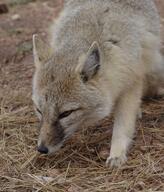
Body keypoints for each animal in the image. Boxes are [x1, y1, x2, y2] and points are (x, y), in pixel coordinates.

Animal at [32, 0, 164, 166]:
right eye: (39, 110)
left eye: (65, 113)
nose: (41, 149)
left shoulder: (131, 80)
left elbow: (122, 125)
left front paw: (117, 153)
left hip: (154, 66)